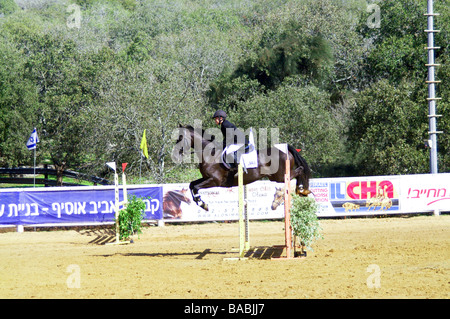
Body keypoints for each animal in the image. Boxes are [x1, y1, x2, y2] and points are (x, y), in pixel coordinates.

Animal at [173, 125, 312, 212]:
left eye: (180, 138)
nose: (175, 155)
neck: (209, 154)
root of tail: (286, 149)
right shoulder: (206, 178)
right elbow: (192, 185)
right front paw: (202, 203)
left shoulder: (215, 181)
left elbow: (196, 187)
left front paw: (203, 205)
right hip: (275, 177)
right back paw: (302, 191)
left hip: (280, 176)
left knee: (300, 170)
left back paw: (302, 190)